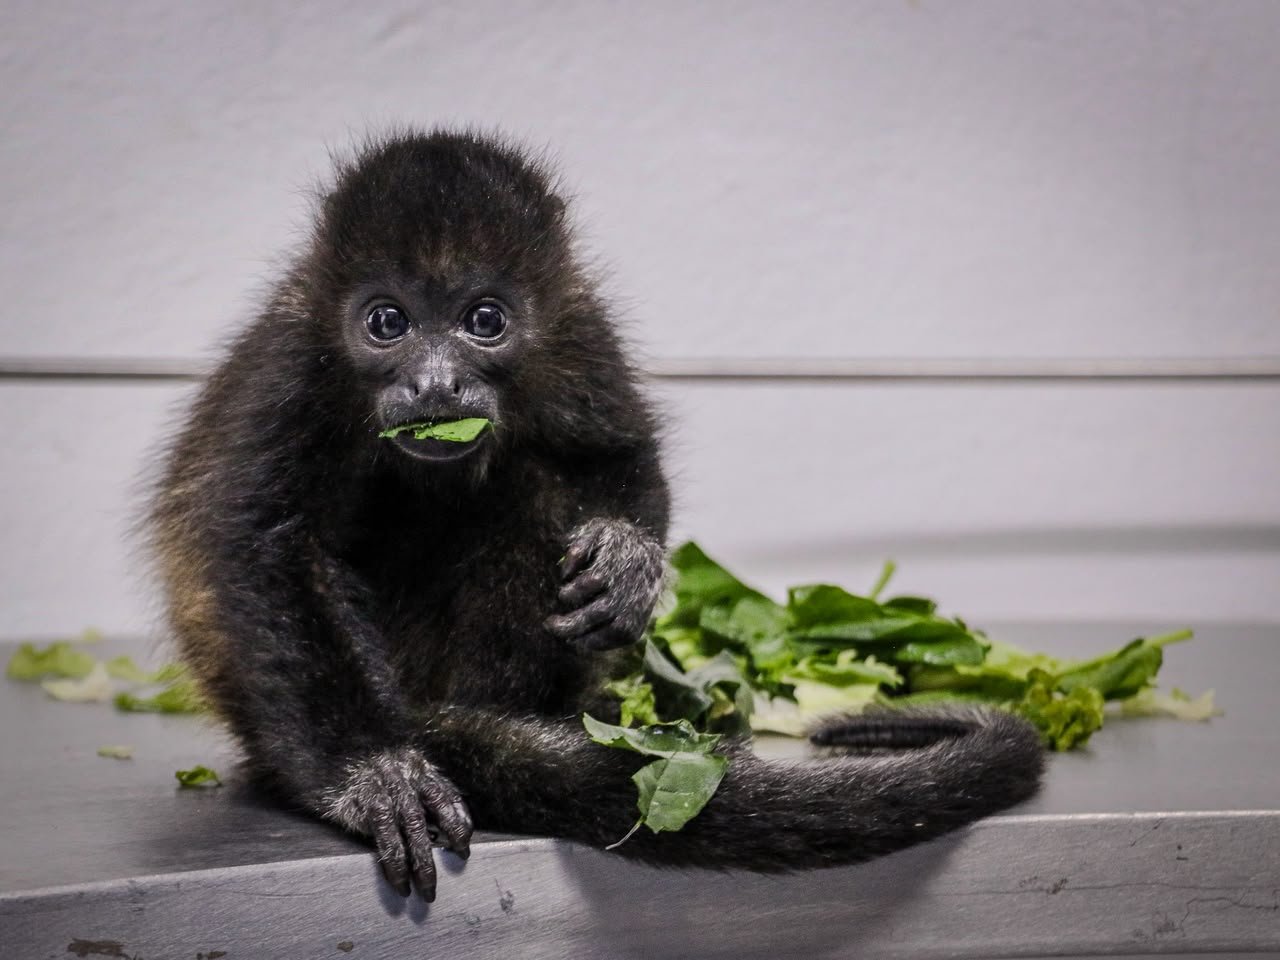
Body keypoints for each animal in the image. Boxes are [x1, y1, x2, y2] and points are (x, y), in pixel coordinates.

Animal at [148, 128, 1044, 902]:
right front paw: (372, 772)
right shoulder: (287, 367)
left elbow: (614, 456)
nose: (436, 383)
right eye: (386, 322)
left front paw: (626, 561)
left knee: (534, 485)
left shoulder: (581, 331)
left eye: (484, 319)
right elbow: (262, 546)